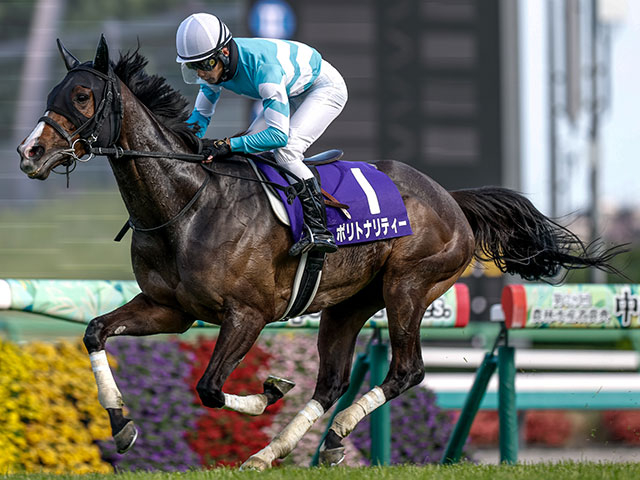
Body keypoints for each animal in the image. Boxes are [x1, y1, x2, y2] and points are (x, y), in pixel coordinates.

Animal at [17, 36, 623, 469]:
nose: (29, 153)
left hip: (409, 286)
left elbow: (210, 388)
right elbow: (95, 331)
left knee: (407, 370)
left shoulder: (248, 313)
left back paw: (335, 433)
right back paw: (274, 452)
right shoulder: (171, 310)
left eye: (83, 97)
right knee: (331, 381)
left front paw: (265, 392)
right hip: (346, 304)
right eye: (50, 97)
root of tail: (451, 199)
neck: (187, 204)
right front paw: (121, 425)